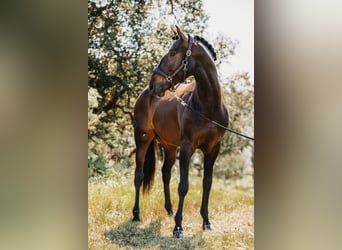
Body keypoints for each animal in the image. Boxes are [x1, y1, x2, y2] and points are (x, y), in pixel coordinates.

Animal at [132, 25, 228, 238]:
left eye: (172, 52)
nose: (154, 84)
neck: (208, 106)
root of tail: (145, 95)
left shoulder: (213, 149)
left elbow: (207, 183)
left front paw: (206, 222)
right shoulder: (186, 148)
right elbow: (183, 186)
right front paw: (178, 227)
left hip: (168, 146)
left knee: (165, 173)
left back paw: (168, 209)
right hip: (142, 140)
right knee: (139, 176)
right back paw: (136, 215)